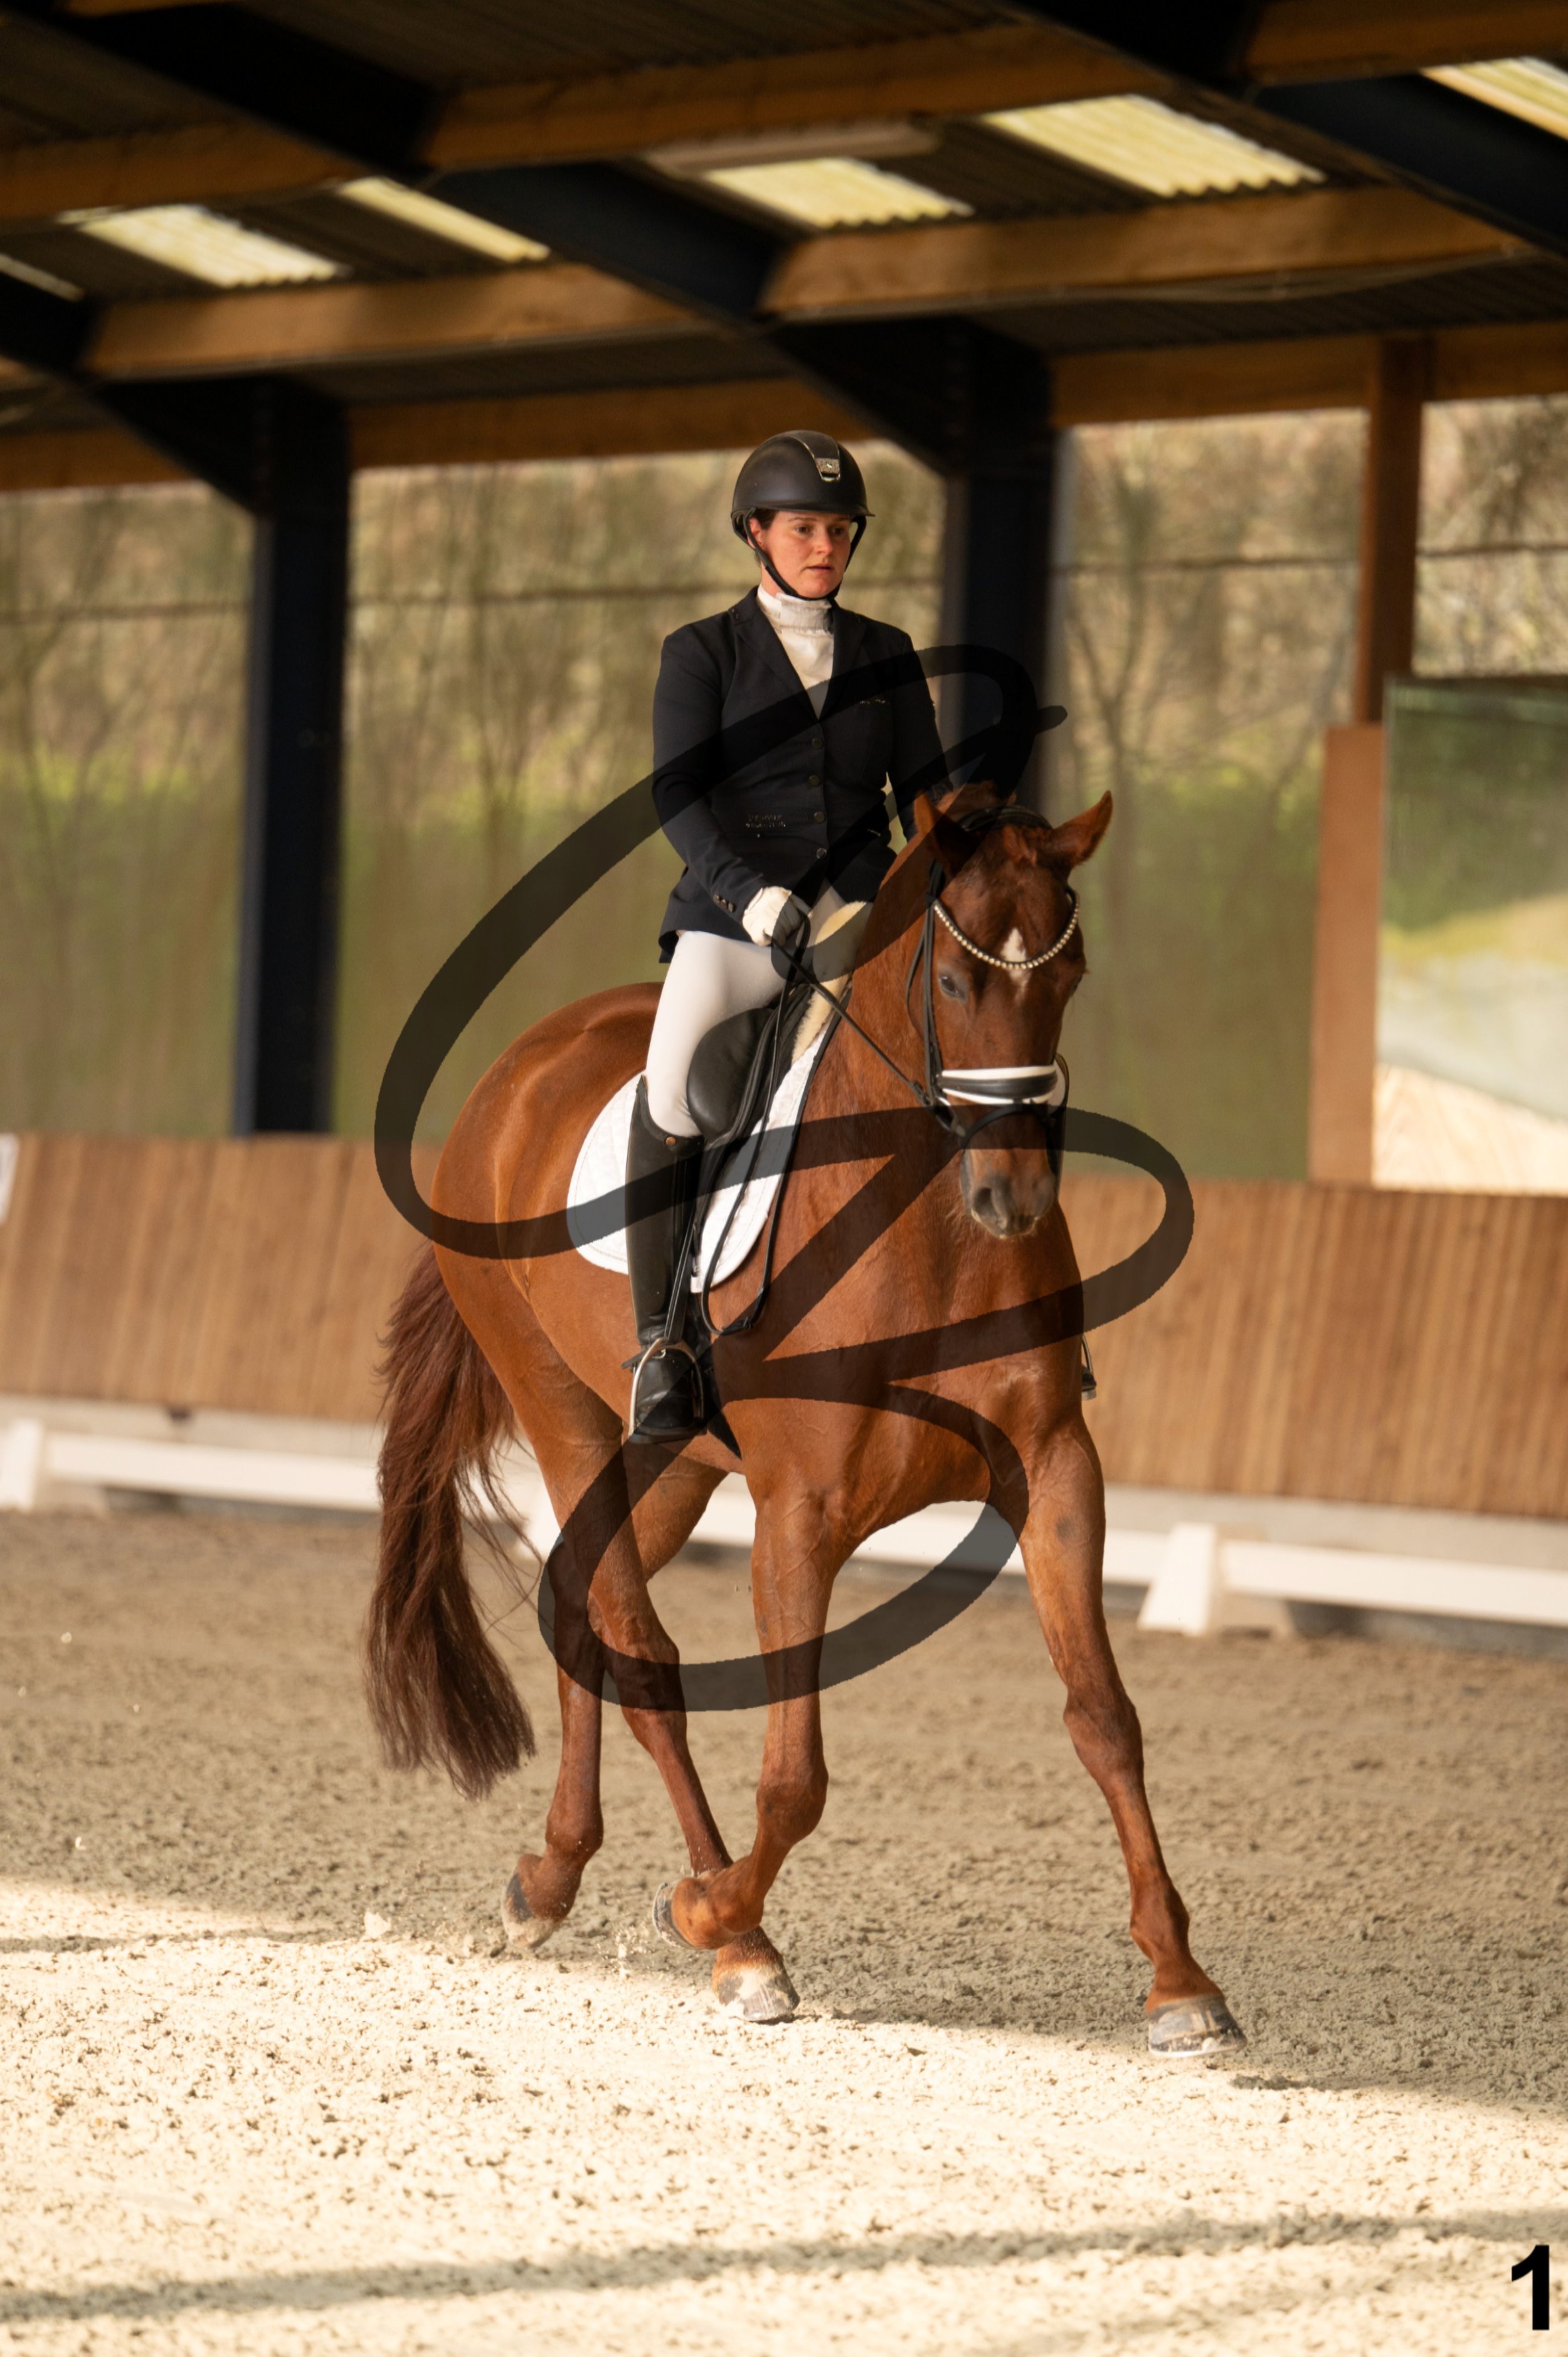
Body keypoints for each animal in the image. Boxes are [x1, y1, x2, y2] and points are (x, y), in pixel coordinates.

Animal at [366, 780, 1244, 2055]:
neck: (928, 1227)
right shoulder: (800, 1515)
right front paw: (712, 1914)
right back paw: (731, 1936)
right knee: (642, 1654)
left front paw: (1181, 1980)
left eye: (1070, 971)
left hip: (673, 1467)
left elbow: (1104, 1717)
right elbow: (796, 1775)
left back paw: (552, 1876)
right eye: (953, 983)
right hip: (561, 1411)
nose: (1014, 1199)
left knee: (578, 1603)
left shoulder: (1054, 1470)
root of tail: (518, 1070)